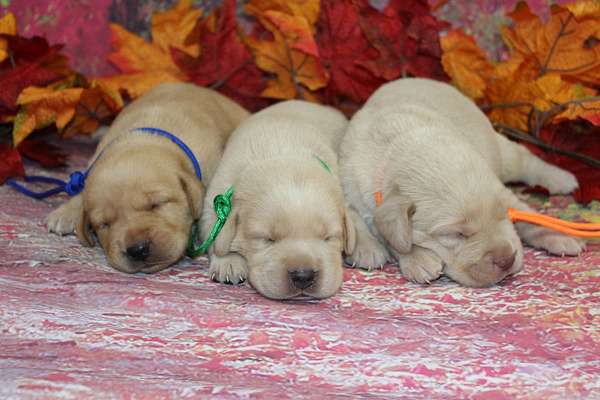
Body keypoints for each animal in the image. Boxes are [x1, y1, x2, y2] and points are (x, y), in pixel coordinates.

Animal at [46, 83, 248, 274]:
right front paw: (67, 211)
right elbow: (83, 185)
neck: (148, 138)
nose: (138, 250)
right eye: (104, 224)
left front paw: (227, 260)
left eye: (157, 204)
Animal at [200, 100, 356, 300]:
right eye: (267, 239)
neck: (281, 152)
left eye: (329, 238)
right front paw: (229, 262)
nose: (303, 276)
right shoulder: (218, 191)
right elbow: (215, 234)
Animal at [340, 76, 588, 286]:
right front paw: (416, 259)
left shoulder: (506, 195)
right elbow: (384, 233)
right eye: (456, 234)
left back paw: (561, 178)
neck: (399, 143)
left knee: (525, 158)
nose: (507, 260)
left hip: (501, 151)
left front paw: (557, 235)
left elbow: (529, 217)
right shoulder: (357, 194)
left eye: (503, 214)